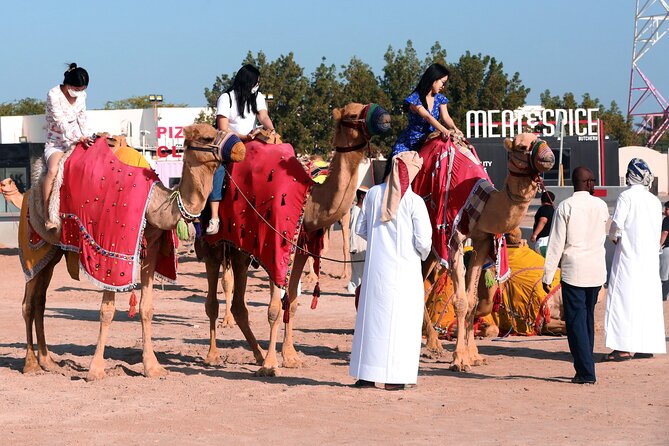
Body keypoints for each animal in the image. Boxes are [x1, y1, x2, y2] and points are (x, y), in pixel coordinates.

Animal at [18, 124, 245, 380]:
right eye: (207, 137)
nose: (240, 147)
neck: (153, 204)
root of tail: (28, 194)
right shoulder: (110, 250)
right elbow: (107, 310)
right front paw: (95, 370)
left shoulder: (152, 247)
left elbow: (146, 308)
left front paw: (152, 367)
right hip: (33, 244)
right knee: (28, 302)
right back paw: (31, 364)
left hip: (52, 253)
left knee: (40, 300)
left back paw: (48, 362)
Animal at [201, 102, 388, 376]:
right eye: (353, 114)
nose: (386, 118)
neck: (309, 200)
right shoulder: (274, 247)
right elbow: (274, 308)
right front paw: (270, 365)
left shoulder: (299, 250)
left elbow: (294, 302)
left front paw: (290, 357)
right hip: (213, 245)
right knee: (212, 300)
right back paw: (213, 355)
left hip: (240, 250)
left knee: (239, 304)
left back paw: (256, 354)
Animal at [414, 134, 556, 372]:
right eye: (521, 146)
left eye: (542, 138)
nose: (549, 157)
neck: (485, 207)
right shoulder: (454, 240)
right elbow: (461, 302)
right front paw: (459, 359)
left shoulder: (482, 242)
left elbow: (472, 301)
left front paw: (474, 356)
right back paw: (430, 345)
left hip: (432, 251)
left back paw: (433, 345)